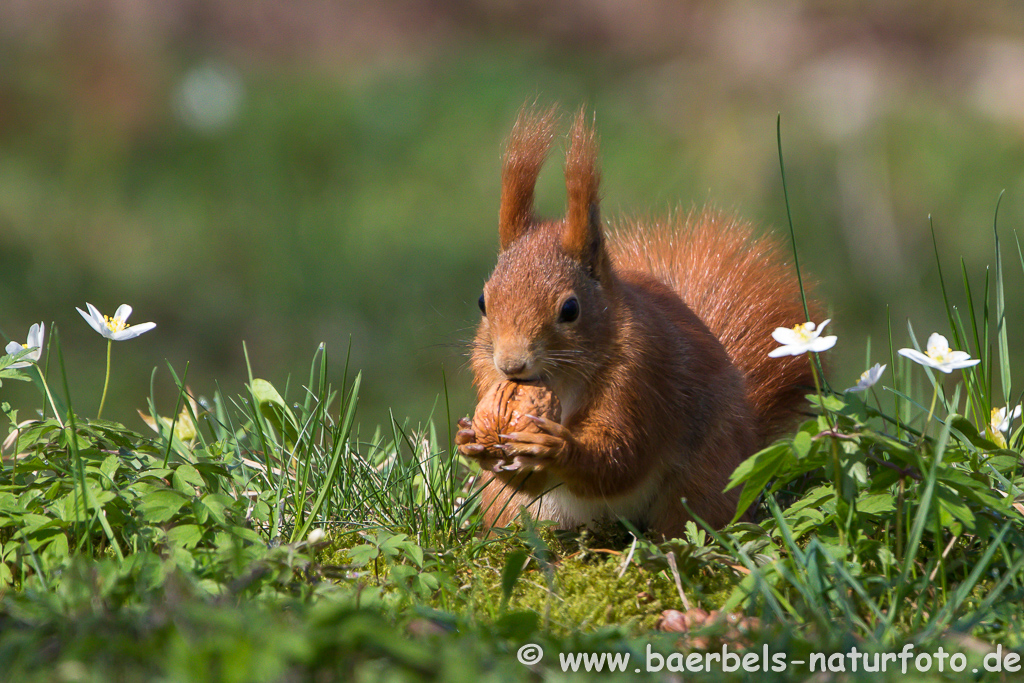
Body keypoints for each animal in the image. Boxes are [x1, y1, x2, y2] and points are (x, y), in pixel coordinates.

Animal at [456, 108, 815, 540]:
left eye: (571, 309)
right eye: (483, 302)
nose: (511, 365)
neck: (562, 379)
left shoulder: (643, 376)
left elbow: (622, 456)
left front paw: (557, 447)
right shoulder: (486, 374)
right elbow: (530, 477)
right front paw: (468, 439)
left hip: (706, 480)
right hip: (507, 507)